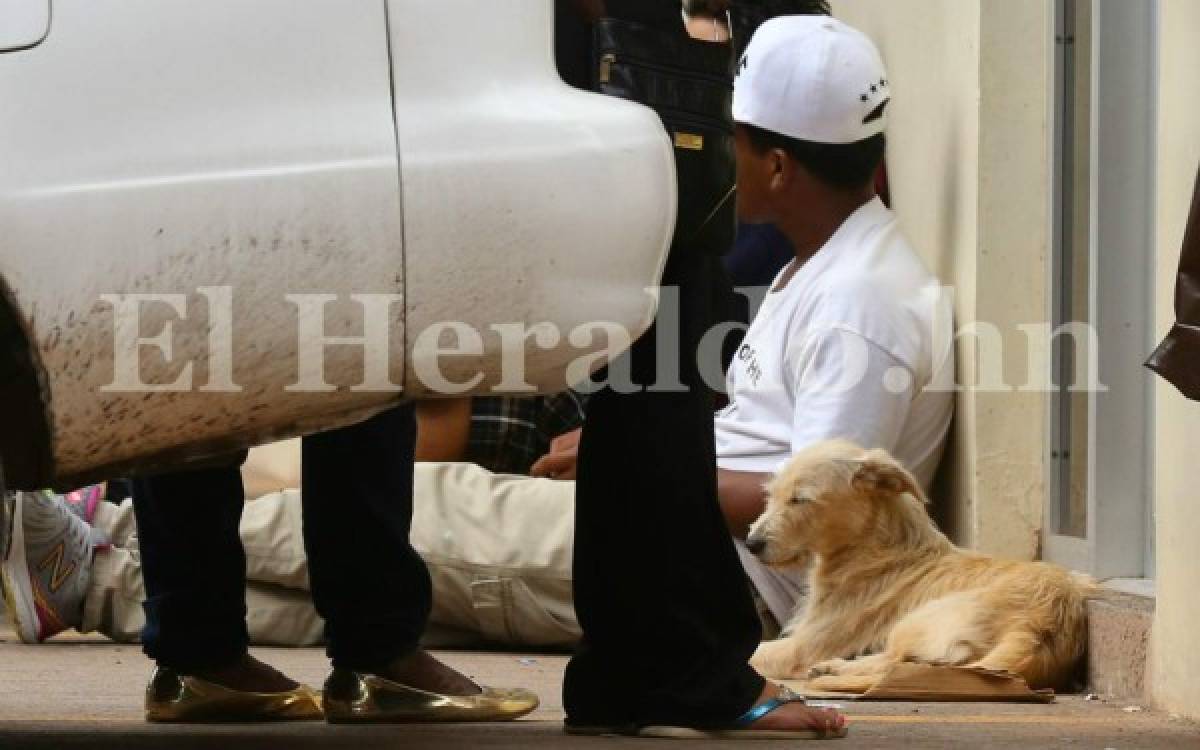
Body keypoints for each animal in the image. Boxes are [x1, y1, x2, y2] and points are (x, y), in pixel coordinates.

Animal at [748, 439, 1099, 691]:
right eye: (772, 495)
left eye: (800, 499)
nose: (752, 544)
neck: (876, 547)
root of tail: (1042, 623)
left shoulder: (799, 648)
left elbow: (755, 652)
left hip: (916, 620)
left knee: (898, 663)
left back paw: (836, 669)